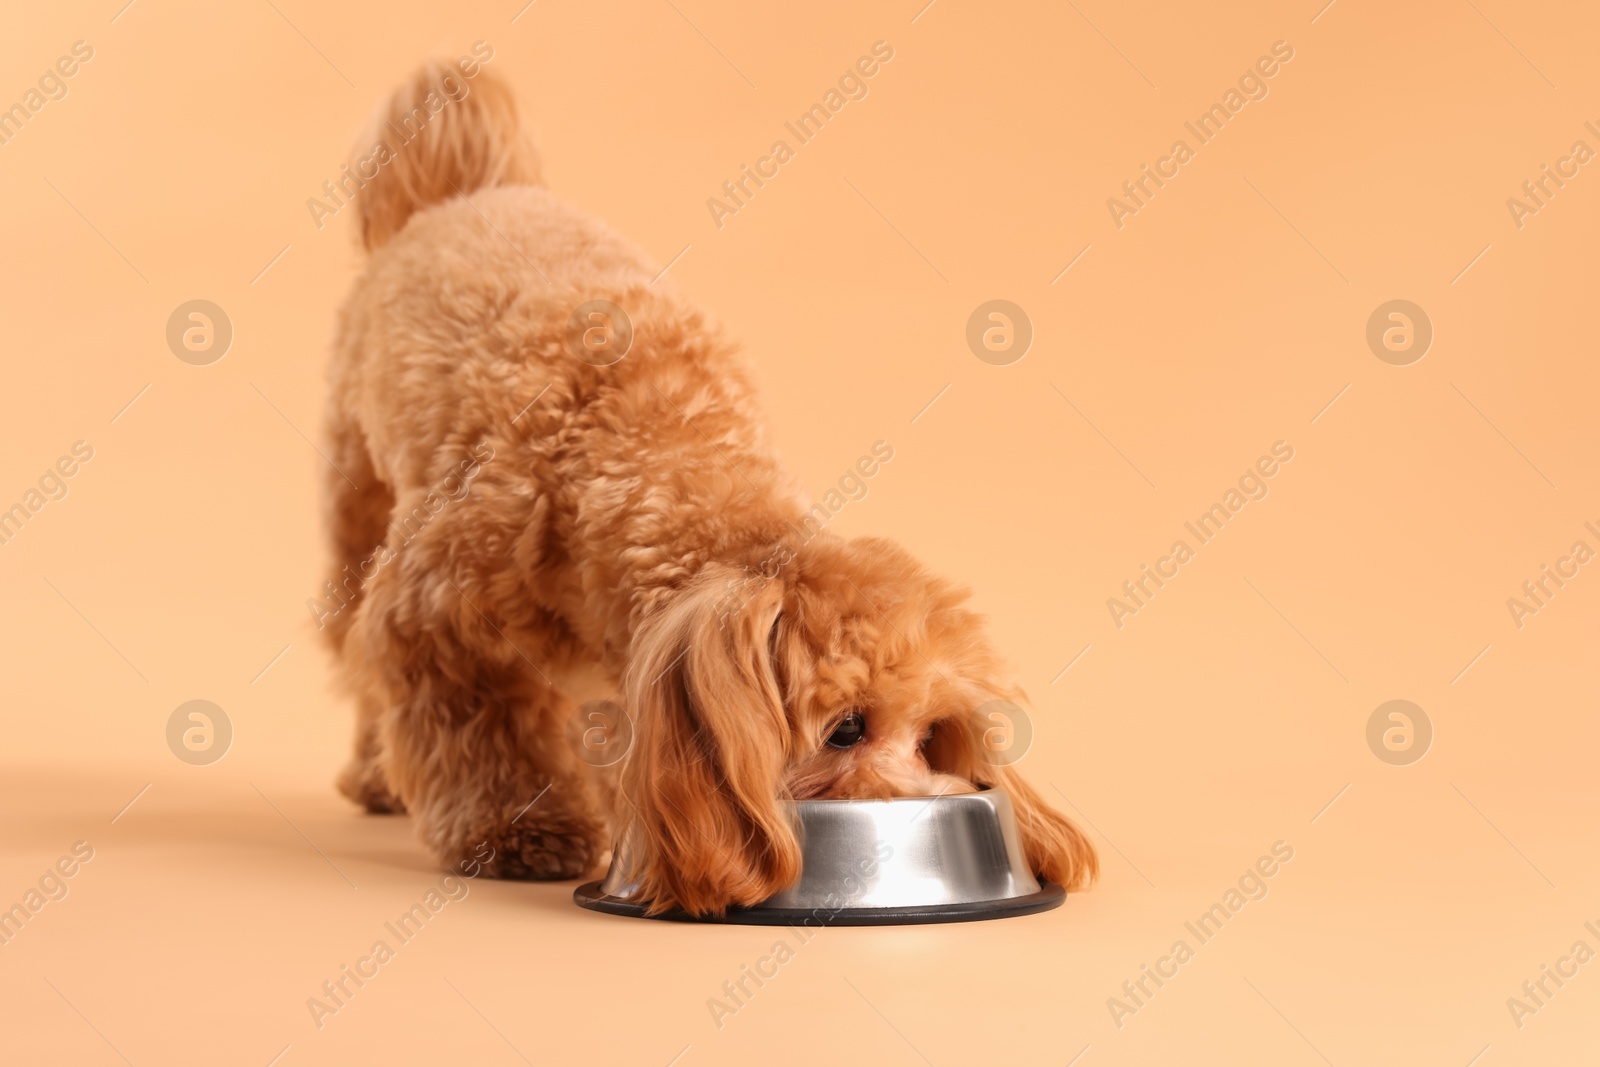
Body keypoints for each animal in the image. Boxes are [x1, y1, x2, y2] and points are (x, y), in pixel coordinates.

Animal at [324, 60, 1100, 921]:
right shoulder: (433, 612)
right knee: (354, 646)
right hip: (357, 501)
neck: (658, 459)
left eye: (932, 734)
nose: (923, 803)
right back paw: (378, 774)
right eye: (846, 728)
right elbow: (471, 728)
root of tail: (469, 193)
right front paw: (516, 829)